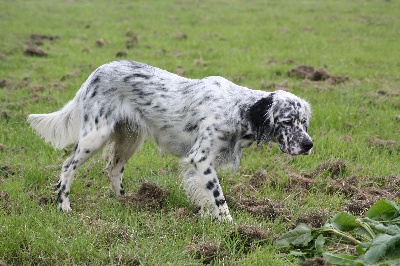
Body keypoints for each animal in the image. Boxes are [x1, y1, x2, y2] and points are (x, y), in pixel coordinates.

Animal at [28, 59, 312, 220]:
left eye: (304, 121)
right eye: (287, 121)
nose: (309, 145)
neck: (236, 109)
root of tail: (94, 74)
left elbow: (206, 195)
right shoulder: (201, 158)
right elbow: (218, 196)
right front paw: (229, 224)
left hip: (130, 139)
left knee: (114, 169)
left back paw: (126, 201)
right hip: (95, 137)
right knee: (68, 167)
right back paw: (64, 206)